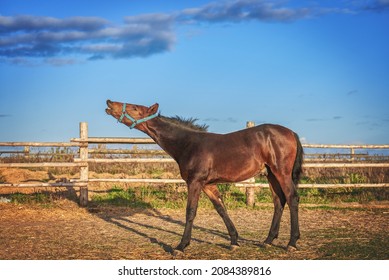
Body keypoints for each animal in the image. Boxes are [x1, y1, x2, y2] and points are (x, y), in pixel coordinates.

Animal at [106, 99, 304, 253]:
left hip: (281, 172)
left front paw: (181, 246)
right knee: (279, 201)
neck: (188, 144)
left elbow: (190, 212)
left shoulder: (194, 182)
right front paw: (234, 241)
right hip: (271, 174)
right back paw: (268, 241)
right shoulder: (208, 185)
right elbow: (221, 209)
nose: (109, 103)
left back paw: (292, 242)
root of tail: (291, 133)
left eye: (134, 108)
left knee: (291, 198)